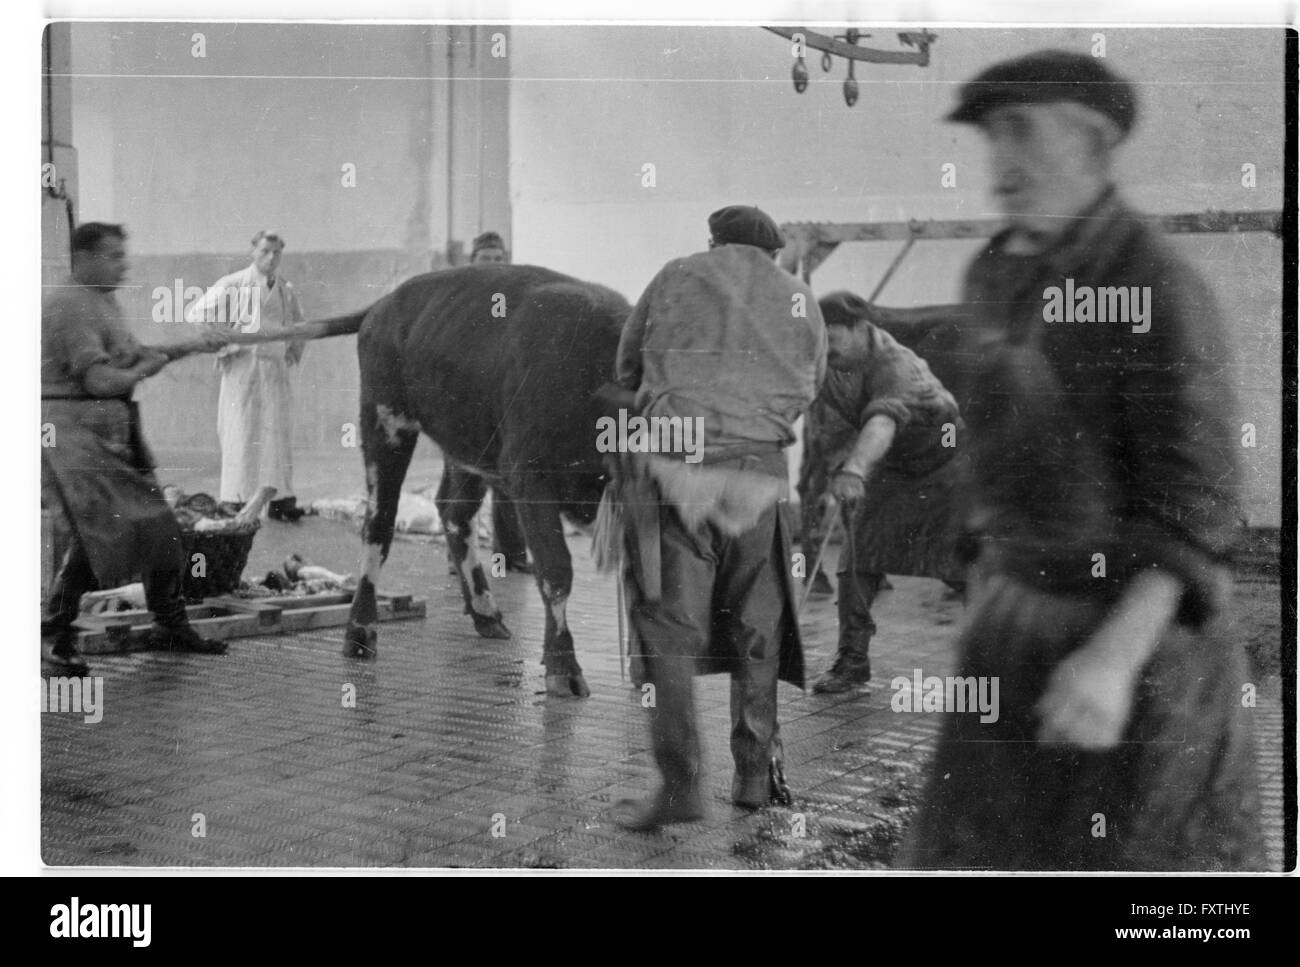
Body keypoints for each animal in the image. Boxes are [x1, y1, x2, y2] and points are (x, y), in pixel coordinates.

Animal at [330, 267, 624, 696]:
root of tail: (385, 304)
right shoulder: (529, 478)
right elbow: (556, 570)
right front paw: (563, 667)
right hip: (386, 423)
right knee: (379, 523)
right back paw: (360, 631)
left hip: (467, 445)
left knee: (454, 512)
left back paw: (485, 611)